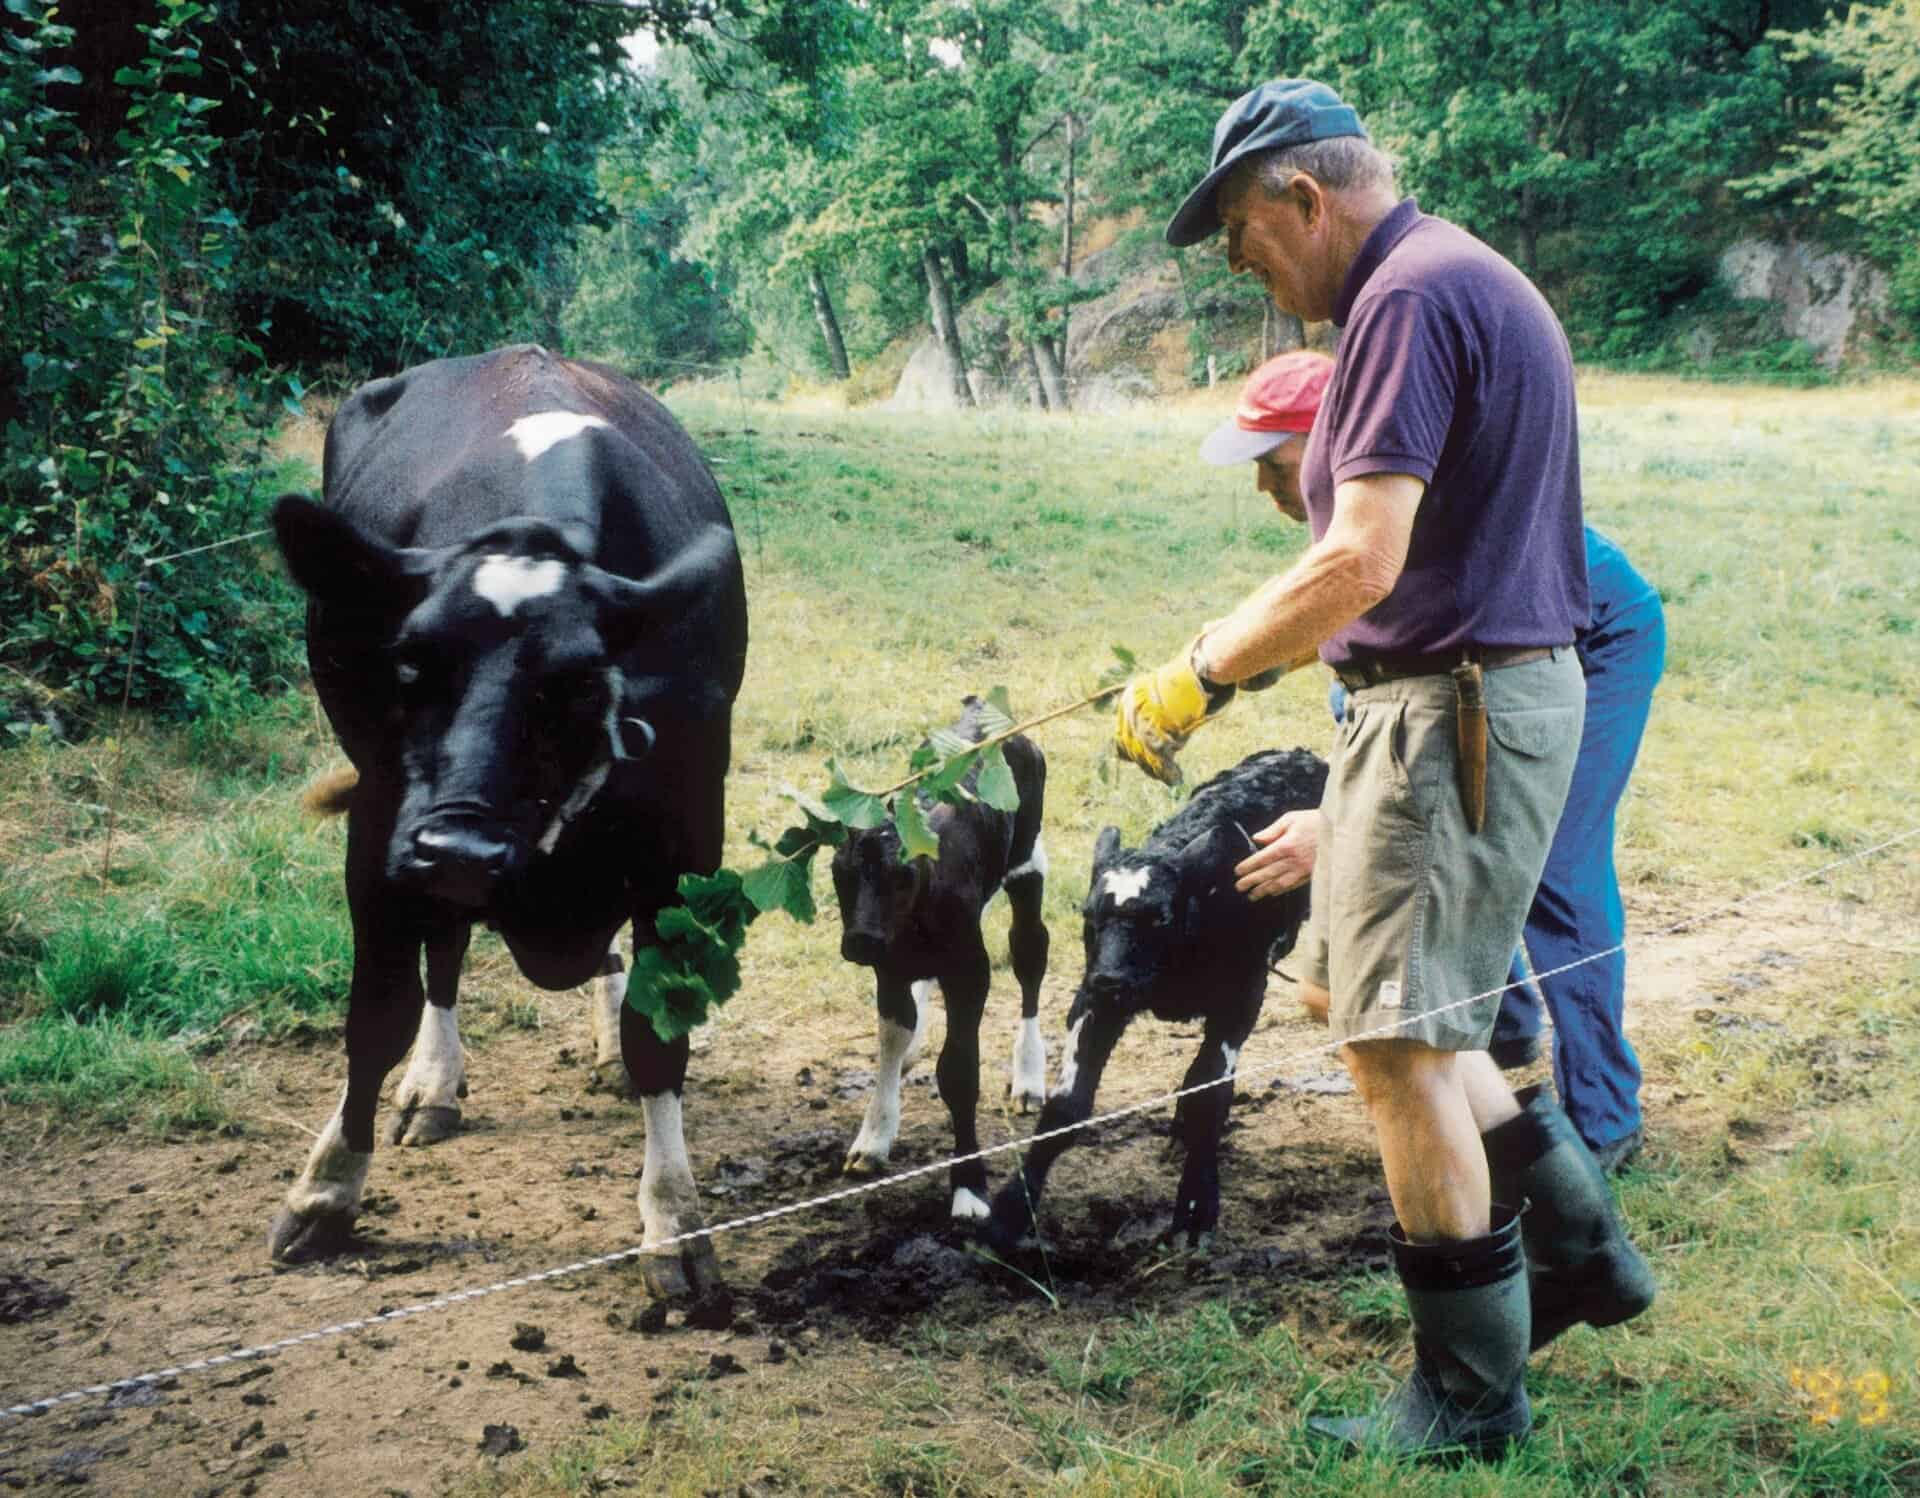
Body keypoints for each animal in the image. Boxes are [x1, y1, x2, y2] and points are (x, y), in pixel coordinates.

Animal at [266, 344, 747, 1300]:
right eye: (409, 665)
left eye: (578, 687)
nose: (461, 845)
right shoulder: (382, 828)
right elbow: (375, 1016)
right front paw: (327, 1189)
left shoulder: (682, 843)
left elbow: (657, 1034)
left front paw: (673, 1220)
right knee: (445, 954)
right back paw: (434, 1081)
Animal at [830, 698, 1049, 1222]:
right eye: (839, 871)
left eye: (903, 872)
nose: (861, 940)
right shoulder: (889, 969)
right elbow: (891, 1036)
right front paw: (874, 1138)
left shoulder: (970, 970)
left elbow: (959, 1072)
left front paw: (969, 1188)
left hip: (1027, 860)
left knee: (1030, 954)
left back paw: (1029, 1077)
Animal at [984, 748, 1328, 1254]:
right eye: (1088, 916)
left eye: (1160, 918)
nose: (1110, 978)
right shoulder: (1095, 1000)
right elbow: (1067, 1106)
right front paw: (1010, 1212)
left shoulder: (1240, 998)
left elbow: (1209, 1093)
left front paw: (1194, 1209)